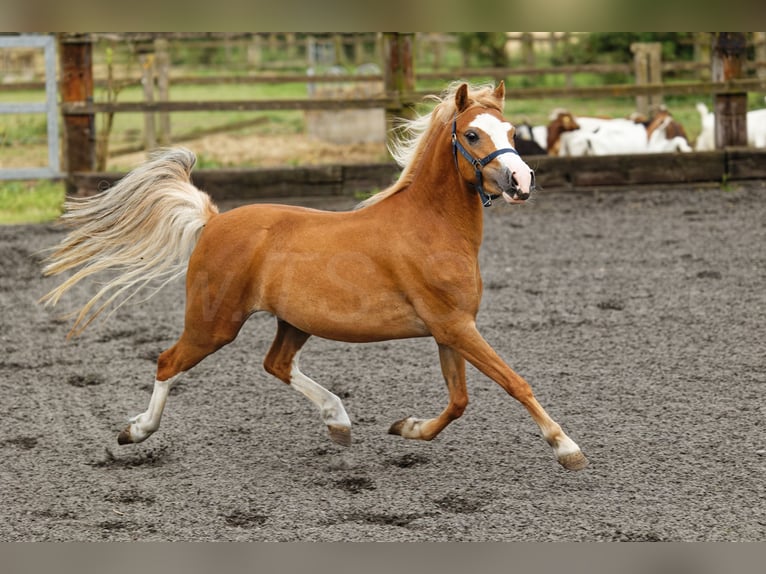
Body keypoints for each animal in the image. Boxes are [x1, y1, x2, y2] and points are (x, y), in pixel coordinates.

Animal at [45, 83, 592, 474]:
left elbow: (458, 401)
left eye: (513, 133)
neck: (431, 227)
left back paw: (339, 422)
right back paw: (135, 432)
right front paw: (567, 448)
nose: (521, 181)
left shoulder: (449, 329)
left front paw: (406, 428)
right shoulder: (456, 326)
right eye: (473, 135)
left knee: (276, 364)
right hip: (213, 322)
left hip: (294, 321)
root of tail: (213, 221)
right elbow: (515, 382)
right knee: (168, 362)